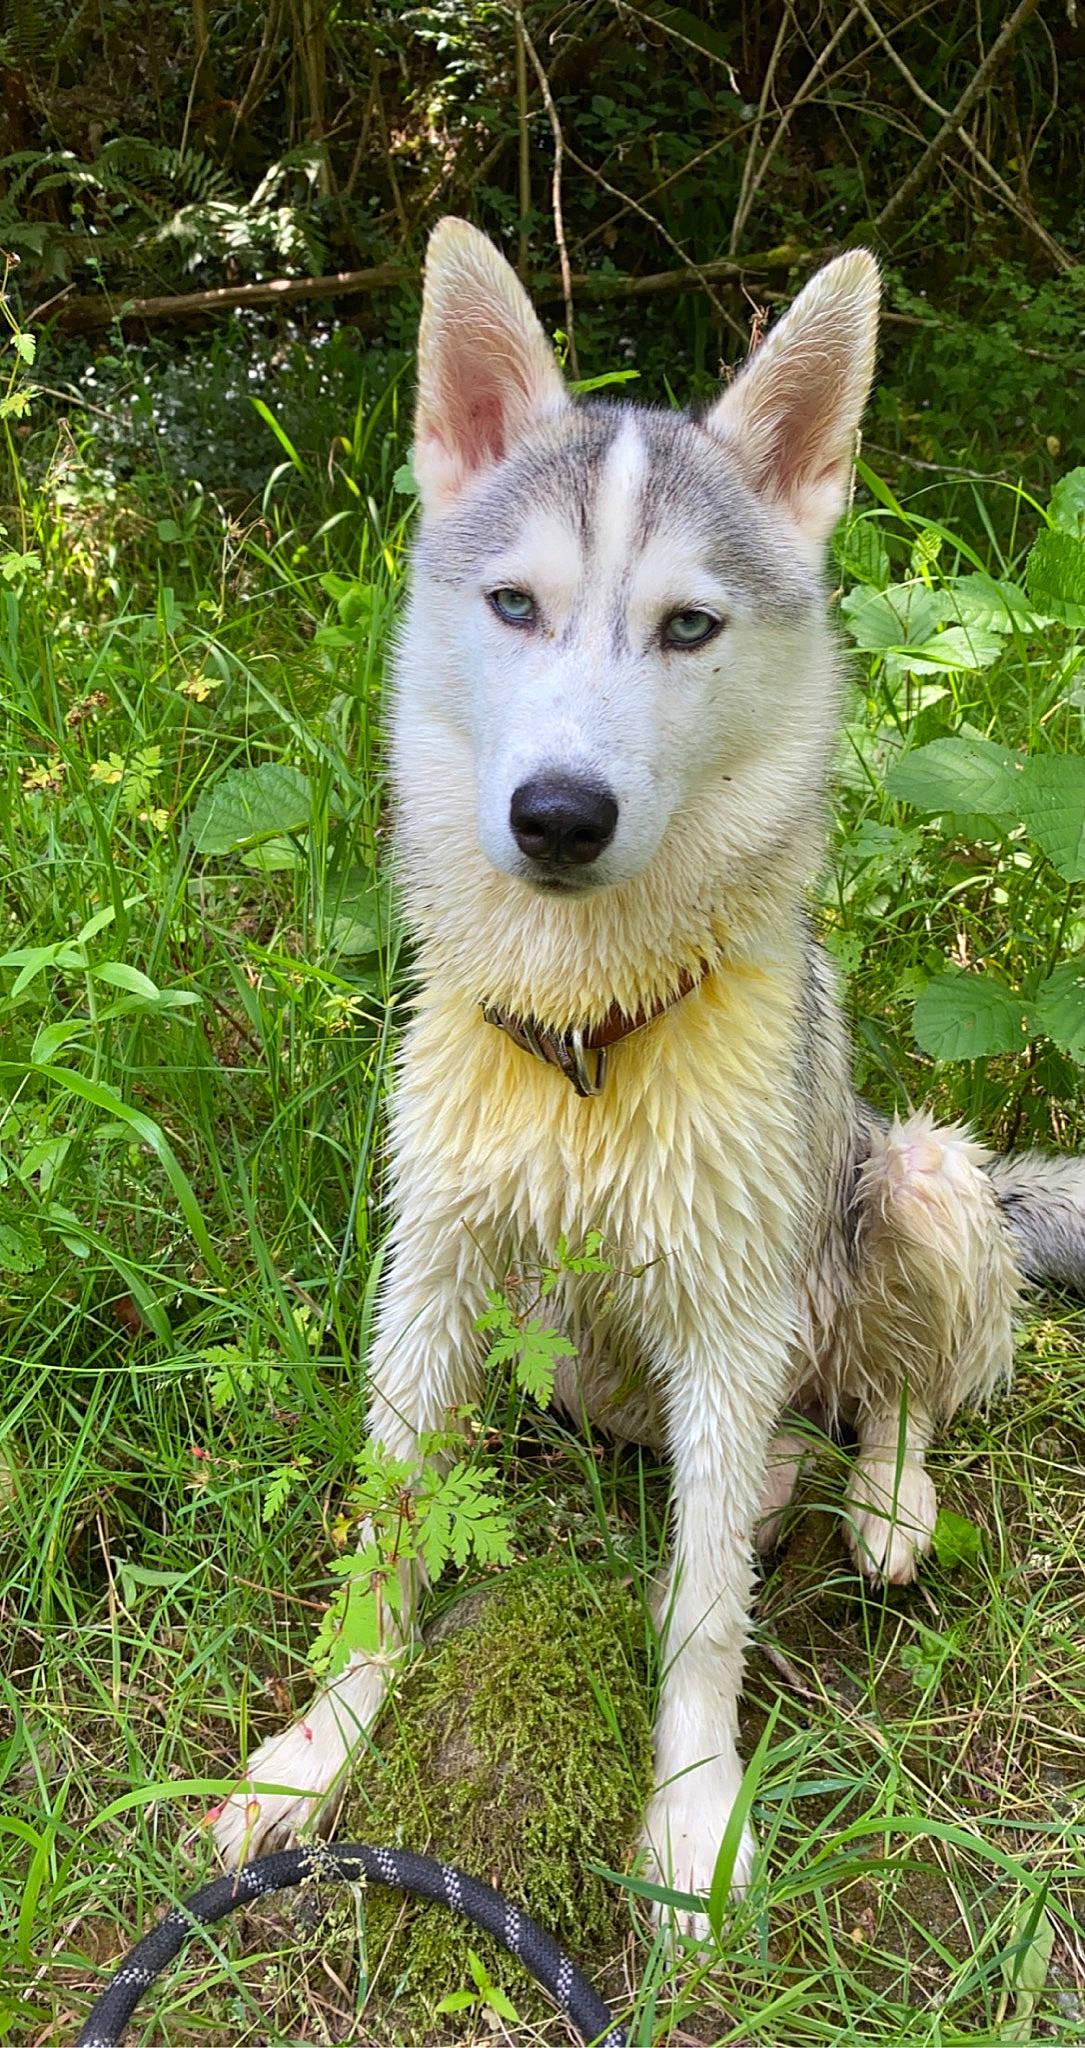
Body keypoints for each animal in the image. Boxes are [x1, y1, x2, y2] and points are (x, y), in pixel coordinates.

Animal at [213, 218, 1085, 1916]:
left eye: (689, 626)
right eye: (513, 606)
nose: (560, 813)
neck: (585, 1035)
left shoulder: (732, 1318)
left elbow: (700, 1611)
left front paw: (691, 1817)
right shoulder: (431, 1285)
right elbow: (389, 1535)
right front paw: (321, 1750)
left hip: (912, 1180)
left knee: (894, 1395)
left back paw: (883, 1499)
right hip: (580, 1348)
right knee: (750, 1461)